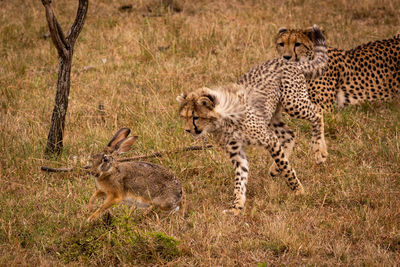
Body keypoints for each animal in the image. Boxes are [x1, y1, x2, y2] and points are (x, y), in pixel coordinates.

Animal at [177, 25, 326, 216]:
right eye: (185, 117)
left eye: (195, 117)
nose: (188, 130)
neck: (222, 121)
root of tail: (285, 60)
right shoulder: (238, 153)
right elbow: (240, 179)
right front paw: (236, 206)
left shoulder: (268, 140)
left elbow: (285, 166)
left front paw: (298, 190)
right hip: (272, 115)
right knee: (289, 133)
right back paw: (275, 168)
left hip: (293, 103)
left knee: (317, 112)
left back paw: (319, 150)